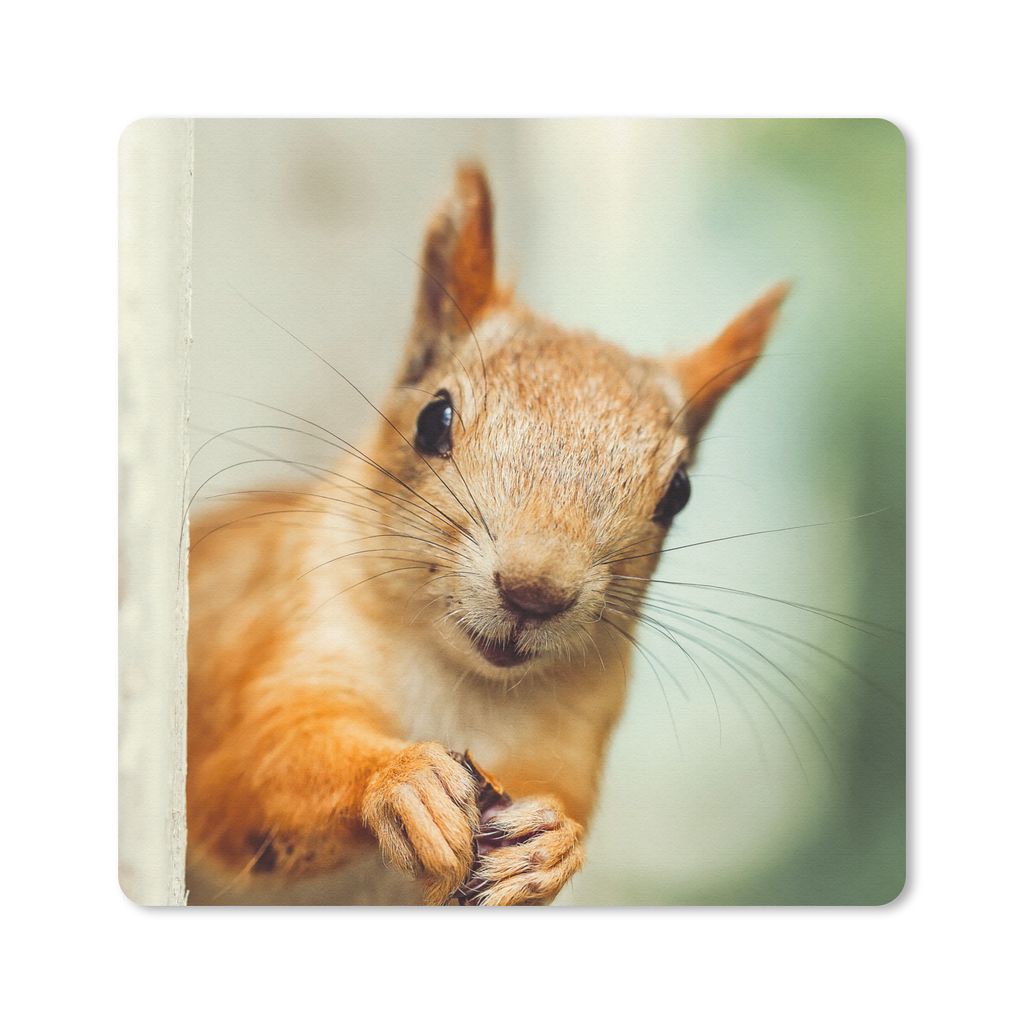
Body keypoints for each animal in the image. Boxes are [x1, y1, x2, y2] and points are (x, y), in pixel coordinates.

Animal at [185, 163, 788, 905]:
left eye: (678, 492)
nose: (535, 592)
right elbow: (248, 773)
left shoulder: (569, 739)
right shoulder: (279, 640)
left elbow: (563, 807)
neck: (460, 683)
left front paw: (552, 846)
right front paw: (402, 782)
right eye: (432, 420)